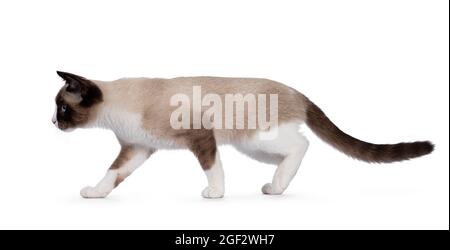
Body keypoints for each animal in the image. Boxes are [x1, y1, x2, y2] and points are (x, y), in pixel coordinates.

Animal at [51, 71, 434, 198]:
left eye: (63, 109)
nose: (52, 123)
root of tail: (297, 92)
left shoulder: (201, 136)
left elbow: (212, 169)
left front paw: (215, 195)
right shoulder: (138, 149)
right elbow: (112, 175)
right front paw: (95, 194)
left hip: (255, 139)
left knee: (303, 144)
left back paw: (276, 186)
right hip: (253, 147)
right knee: (296, 148)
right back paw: (276, 187)